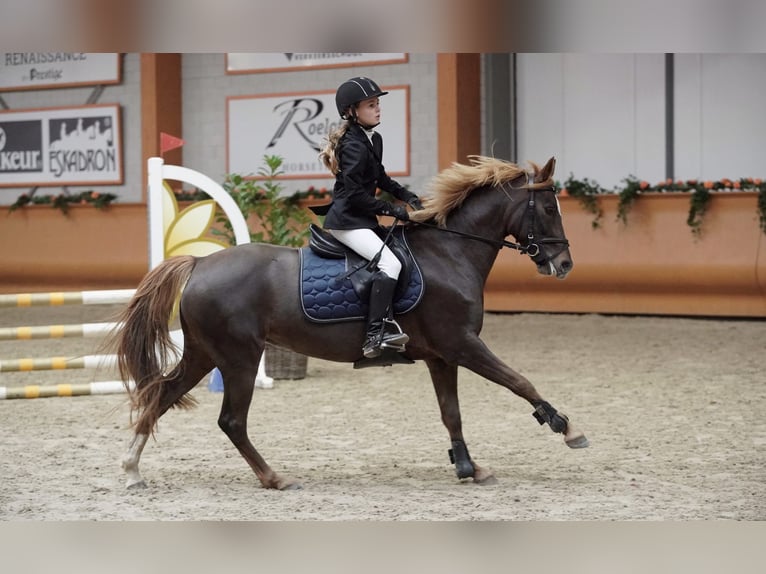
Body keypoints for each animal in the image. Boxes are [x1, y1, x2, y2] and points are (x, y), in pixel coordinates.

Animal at [108, 155, 588, 492]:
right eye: (549, 207)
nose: (564, 265)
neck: (450, 252)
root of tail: (200, 263)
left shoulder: (442, 355)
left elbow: (451, 412)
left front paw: (469, 467)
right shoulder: (463, 344)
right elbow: (519, 380)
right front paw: (566, 428)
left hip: (205, 354)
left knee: (161, 395)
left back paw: (132, 470)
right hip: (239, 358)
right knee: (231, 421)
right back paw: (275, 478)